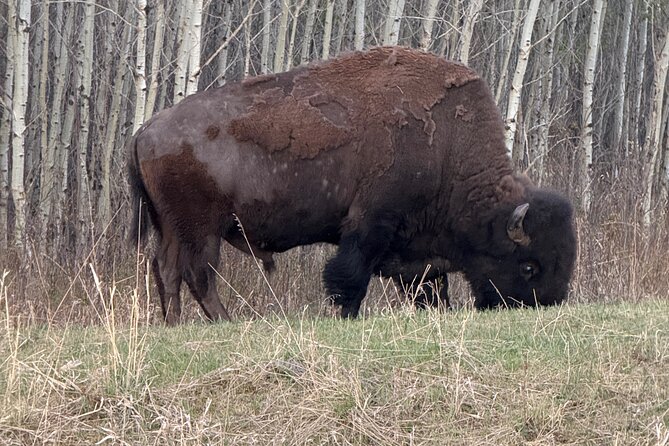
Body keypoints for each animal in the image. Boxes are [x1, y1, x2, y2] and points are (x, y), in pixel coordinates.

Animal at [128, 46, 576, 325]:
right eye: (529, 265)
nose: (545, 305)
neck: (449, 147)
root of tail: (146, 130)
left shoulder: (416, 251)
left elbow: (429, 286)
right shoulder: (371, 222)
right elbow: (350, 274)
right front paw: (346, 314)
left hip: (171, 227)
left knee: (166, 269)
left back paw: (174, 324)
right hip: (202, 228)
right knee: (199, 272)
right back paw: (226, 321)